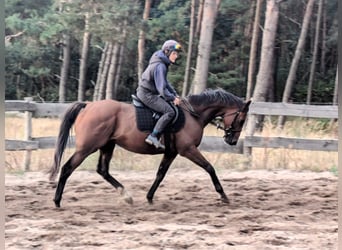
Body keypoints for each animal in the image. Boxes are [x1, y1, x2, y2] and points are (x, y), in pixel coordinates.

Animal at [48, 88, 251, 207]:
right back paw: (57, 201)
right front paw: (223, 195)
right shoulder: (188, 150)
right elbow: (210, 168)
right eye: (241, 120)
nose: (232, 141)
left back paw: (126, 196)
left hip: (107, 146)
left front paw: (149, 197)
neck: (193, 114)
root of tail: (88, 106)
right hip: (87, 147)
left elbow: (160, 174)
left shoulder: (171, 152)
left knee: (103, 170)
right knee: (67, 168)